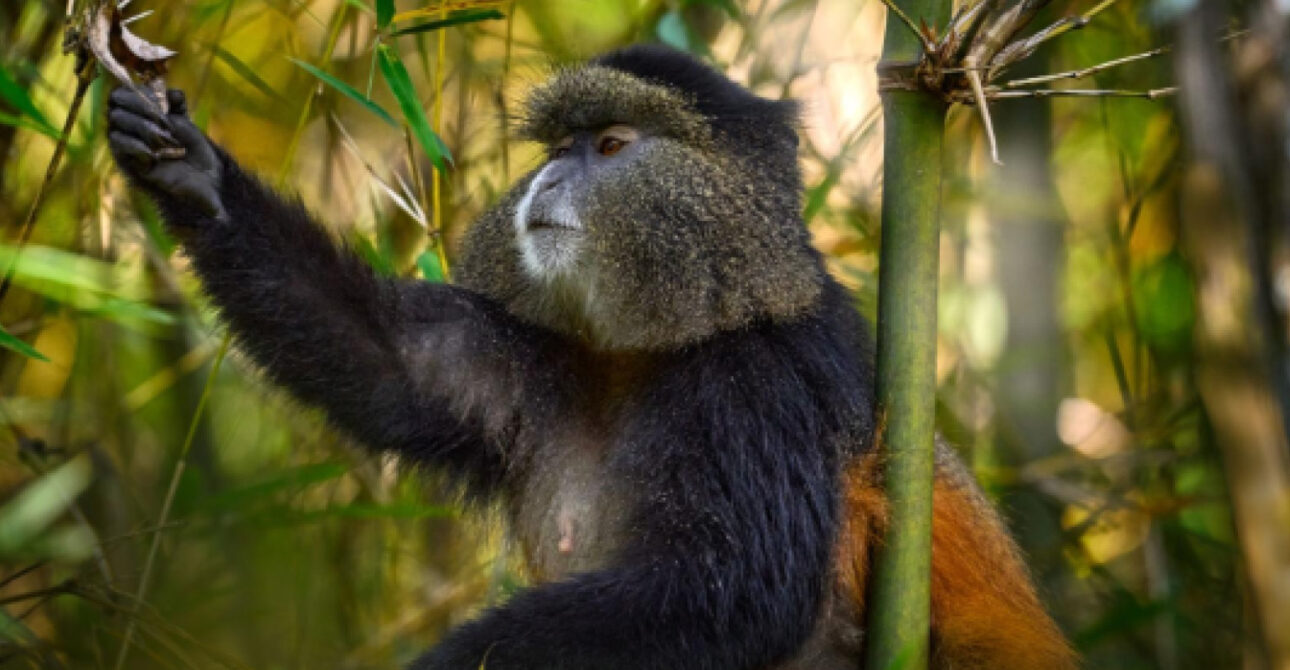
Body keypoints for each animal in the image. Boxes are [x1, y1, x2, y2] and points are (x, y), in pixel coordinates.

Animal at [107, 44, 1076, 670]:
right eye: (557, 148)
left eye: (610, 146)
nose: (546, 179)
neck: (656, 348)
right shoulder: (538, 358)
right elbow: (390, 361)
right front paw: (191, 172)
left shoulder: (766, 384)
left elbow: (734, 589)